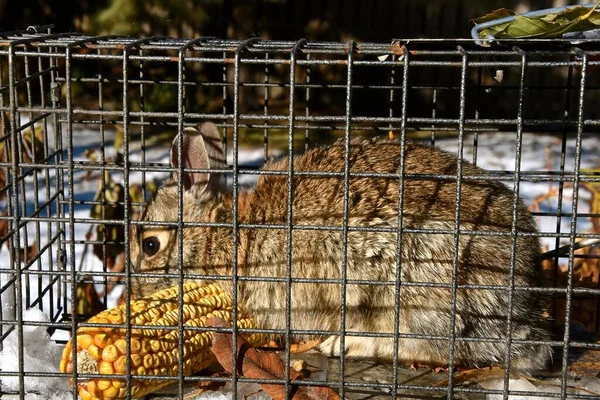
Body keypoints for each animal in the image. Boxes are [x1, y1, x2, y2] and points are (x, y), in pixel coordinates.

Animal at [129, 122, 552, 372]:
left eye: (150, 244)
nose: (134, 292)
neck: (220, 234)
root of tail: (522, 307)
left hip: (406, 287)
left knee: (437, 349)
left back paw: (342, 345)